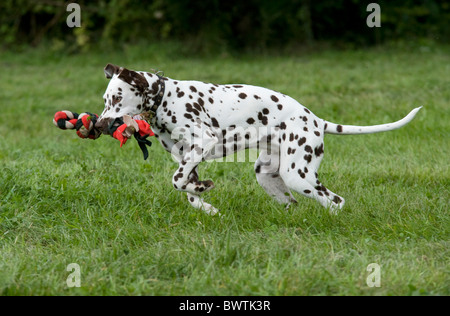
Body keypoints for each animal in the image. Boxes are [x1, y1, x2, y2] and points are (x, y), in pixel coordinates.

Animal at [95, 64, 422, 216]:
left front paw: (202, 196)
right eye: (105, 100)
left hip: (298, 176)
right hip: (268, 176)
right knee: (293, 204)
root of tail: (316, 120)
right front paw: (204, 203)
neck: (165, 98)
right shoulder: (187, 158)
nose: (98, 125)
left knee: (335, 201)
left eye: (117, 98)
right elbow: (186, 188)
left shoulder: (203, 142)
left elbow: (176, 181)